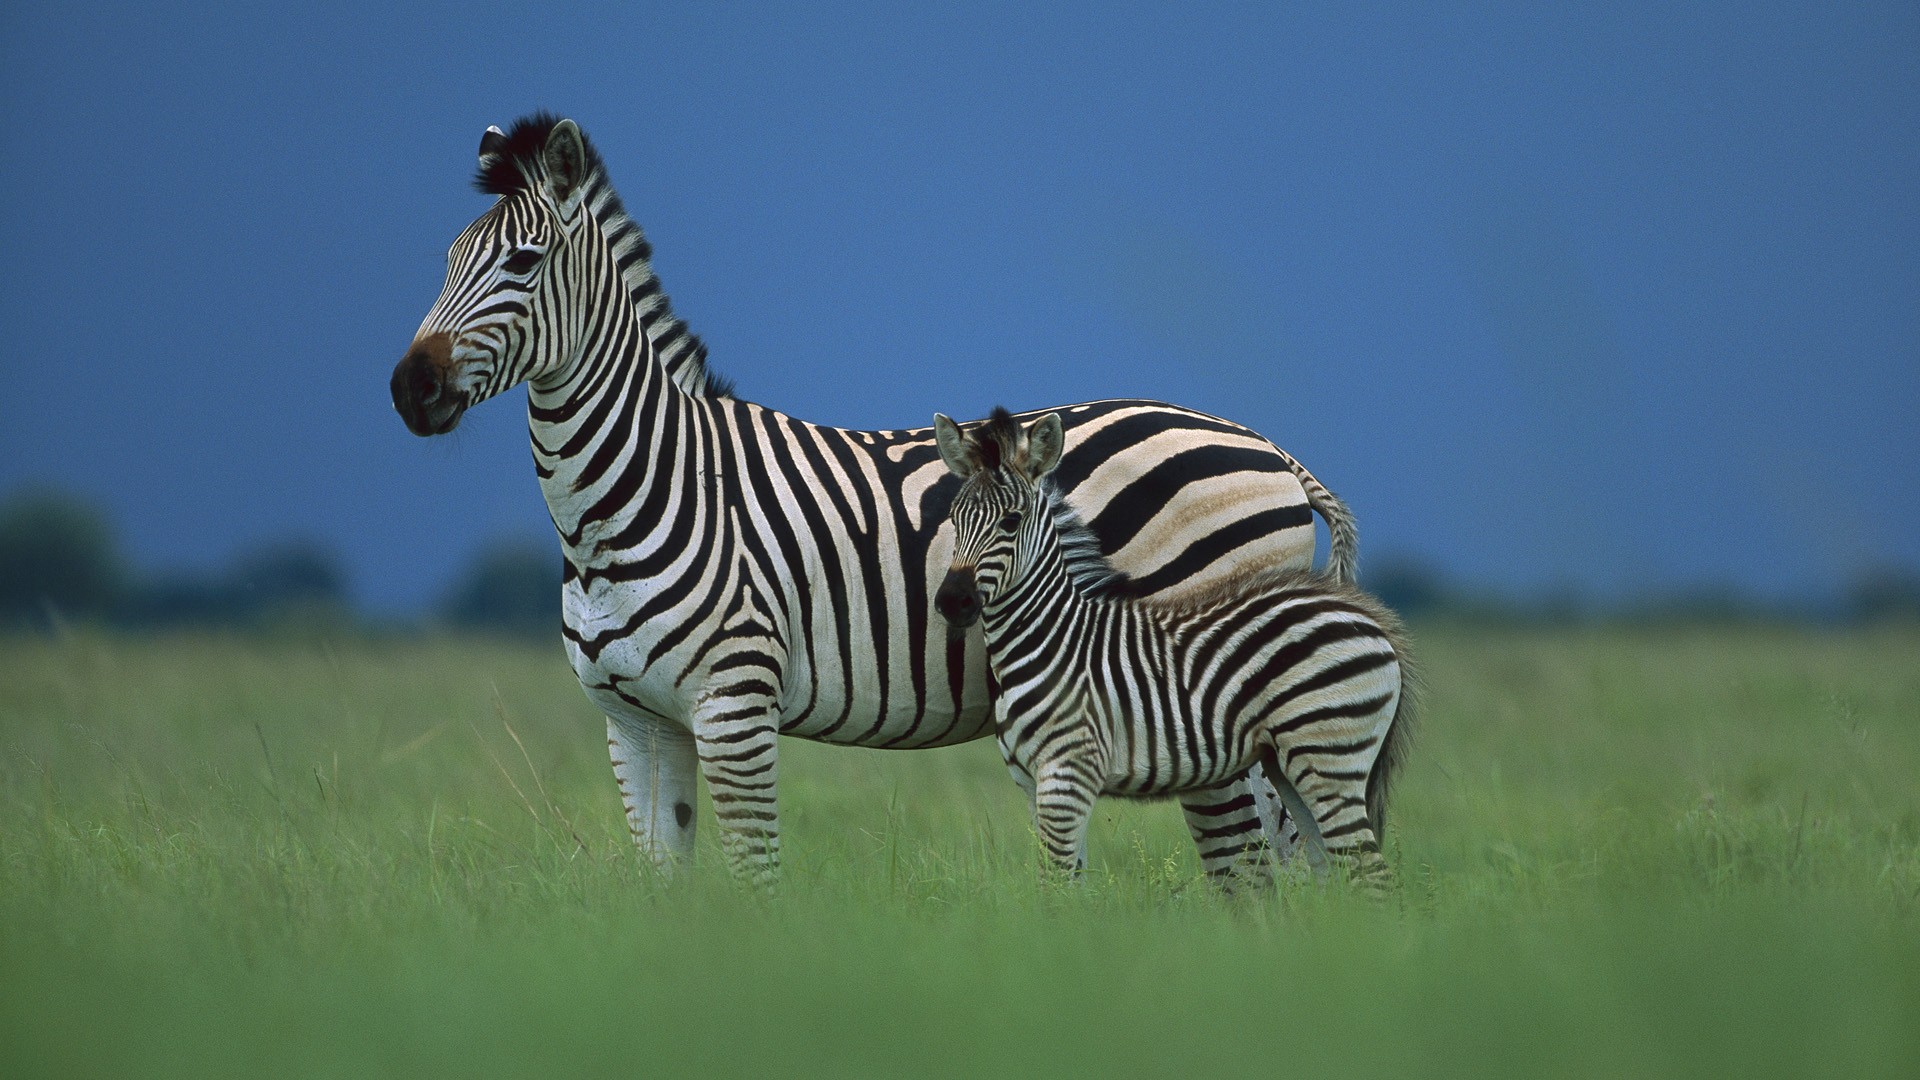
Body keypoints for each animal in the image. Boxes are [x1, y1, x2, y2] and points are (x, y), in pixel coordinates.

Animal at [385, 109, 1351, 887]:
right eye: (447, 261)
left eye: (522, 262)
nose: (409, 389)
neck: (636, 494)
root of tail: (1269, 449)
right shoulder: (636, 723)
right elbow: (666, 892)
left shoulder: (735, 707)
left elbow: (755, 885)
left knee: (1256, 866)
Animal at [929, 407, 1413, 887]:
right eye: (952, 518)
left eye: (1010, 522)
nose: (952, 601)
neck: (1053, 637)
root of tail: (1369, 618)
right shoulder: (1033, 781)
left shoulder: (1069, 772)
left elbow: (1057, 887)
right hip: (1293, 761)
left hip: (1328, 754)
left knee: (1370, 874)